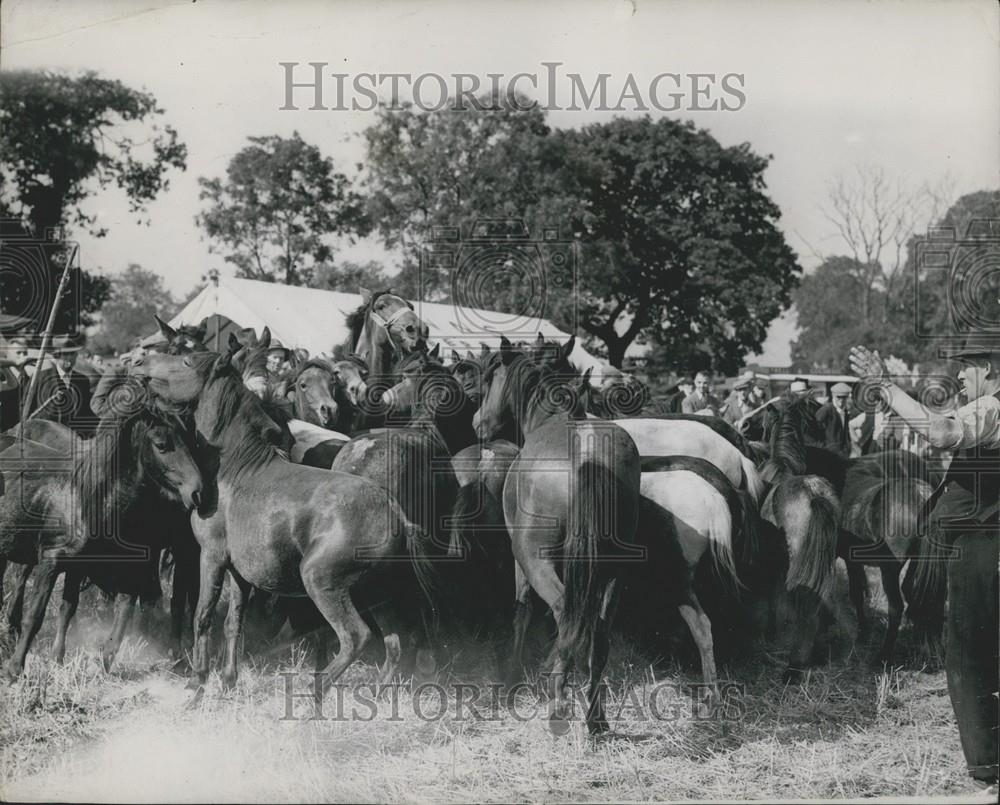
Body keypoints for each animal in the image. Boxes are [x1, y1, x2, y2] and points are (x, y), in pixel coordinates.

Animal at [0, 402, 203, 680]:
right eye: (161, 445)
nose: (198, 492)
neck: (84, 499)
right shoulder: (51, 561)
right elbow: (35, 615)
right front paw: (14, 670)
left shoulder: (79, 566)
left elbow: (68, 609)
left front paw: (59, 660)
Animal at [130, 352, 442, 696]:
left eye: (186, 360)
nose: (139, 362)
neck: (234, 471)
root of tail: (399, 519)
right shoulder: (239, 573)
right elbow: (233, 624)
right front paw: (227, 681)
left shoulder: (211, 557)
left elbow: (203, 617)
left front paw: (197, 683)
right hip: (376, 593)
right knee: (396, 643)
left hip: (324, 584)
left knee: (355, 637)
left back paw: (313, 693)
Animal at [470, 340, 640, 736]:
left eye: (490, 377)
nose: (477, 423)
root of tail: (588, 458)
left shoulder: (521, 561)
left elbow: (522, 610)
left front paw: (512, 679)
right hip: (615, 571)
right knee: (599, 629)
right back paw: (595, 716)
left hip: (536, 559)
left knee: (564, 610)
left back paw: (559, 704)